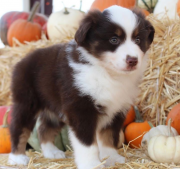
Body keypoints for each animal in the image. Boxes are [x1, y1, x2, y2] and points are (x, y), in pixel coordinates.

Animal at [8, 5, 154, 169]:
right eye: (114, 39)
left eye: (138, 39)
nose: (133, 60)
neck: (107, 73)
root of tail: (22, 60)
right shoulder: (81, 107)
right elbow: (87, 143)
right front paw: (92, 164)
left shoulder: (117, 108)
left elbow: (109, 136)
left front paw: (112, 158)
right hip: (26, 102)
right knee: (19, 128)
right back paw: (17, 158)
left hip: (54, 106)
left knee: (44, 128)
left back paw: (52, 153)